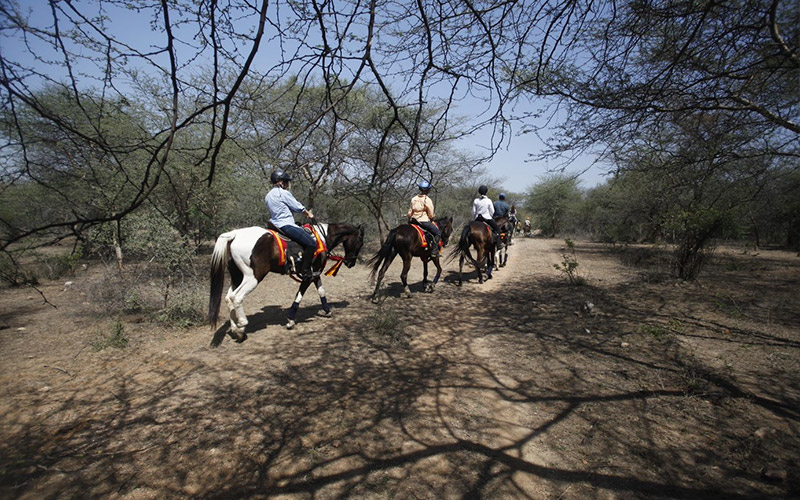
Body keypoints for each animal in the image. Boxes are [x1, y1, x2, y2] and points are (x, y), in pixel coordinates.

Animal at [209, 223, 366, 340]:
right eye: (360, 241)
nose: (351, 263)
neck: (322, 237)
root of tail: (234, 235)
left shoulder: (315, 273)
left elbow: (321, 291)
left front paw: (327, 311)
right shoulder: (308, 275)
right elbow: (299, 295)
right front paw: (290, 320)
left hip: (237, 277)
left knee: (228, 297)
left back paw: (235, 329)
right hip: (252, 277)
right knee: (236, 297)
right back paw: (242, 325)